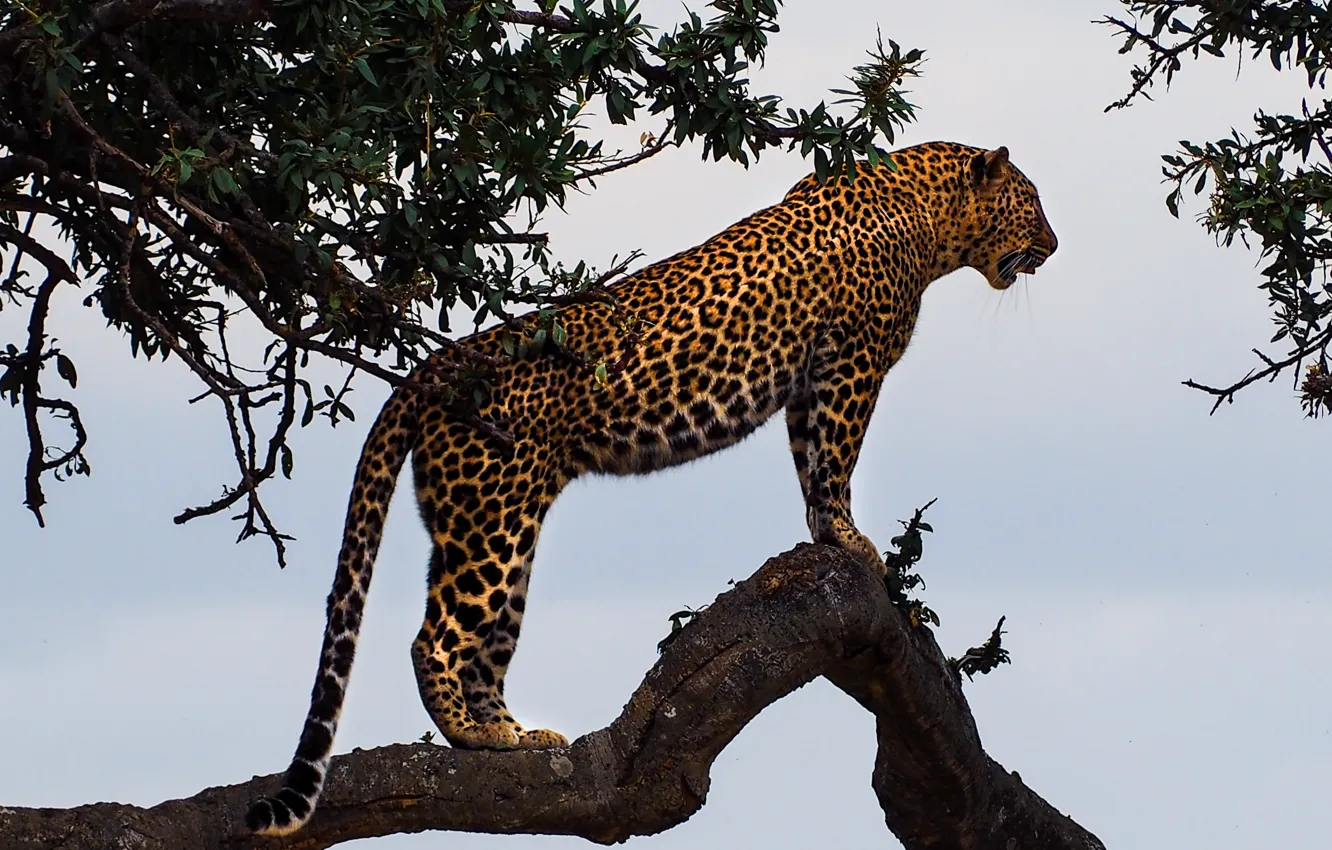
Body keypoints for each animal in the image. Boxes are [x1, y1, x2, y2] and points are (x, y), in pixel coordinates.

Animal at [245, 141, 1059, 835]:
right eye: (1031, 203)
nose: (1053, 247)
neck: (928, 215)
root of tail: (442, 363)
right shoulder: (851, 365)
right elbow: (836, 460)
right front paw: (852, 540)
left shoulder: (808, 385)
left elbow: (809, 463)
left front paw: (827, 535)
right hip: (492, 524)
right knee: (433, 640)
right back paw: (473, 736)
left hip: (497, 529)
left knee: (485, 642)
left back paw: (511, 737)